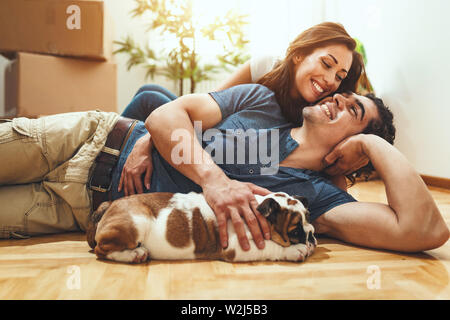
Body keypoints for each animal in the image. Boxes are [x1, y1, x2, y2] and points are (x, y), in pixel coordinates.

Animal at [85, 191, 316, 264]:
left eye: (309, 217)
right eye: (295, 231)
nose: (312, 237)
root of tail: (109, 204)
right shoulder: (237, 247)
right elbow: (269, 247)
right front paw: (295, 250)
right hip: (136, 222)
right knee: (101, 250)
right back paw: (133, 255)